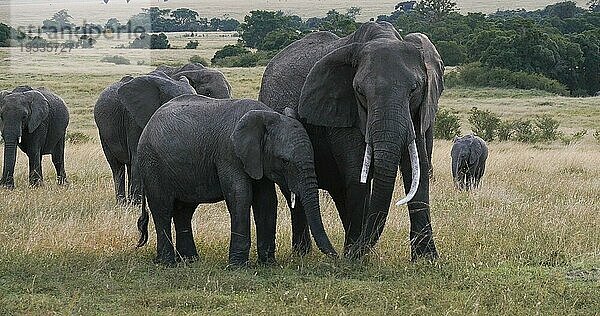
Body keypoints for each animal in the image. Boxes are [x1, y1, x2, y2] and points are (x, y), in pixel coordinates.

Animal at [94, 71, 196, 205]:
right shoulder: (133, 120)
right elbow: (139, 157)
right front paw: (137, 206)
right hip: (103, 132)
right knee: (117, 166)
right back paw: (123, 204)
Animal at [135, 95, 338, 266]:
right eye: (284, 161)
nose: (336, 257)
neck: (265, 116)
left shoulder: (258, 159)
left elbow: (266, 201)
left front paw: (268, 264)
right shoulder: (229, 153)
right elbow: (240, 196)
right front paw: (238, 266)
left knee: (184, 210)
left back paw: (190, 261)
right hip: (152, 164)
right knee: (162, 208)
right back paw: (168, 263)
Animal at [258, 21, 446, 260]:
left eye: (414, 89)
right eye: (359, 92)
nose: (351, 255)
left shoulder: (419, 112)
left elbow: (417, 170)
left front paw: (427, 259)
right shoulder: (342, 109)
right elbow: (357, 173)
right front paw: (355, 258)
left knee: (339, 191)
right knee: (297, 193)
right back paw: (306, 254)